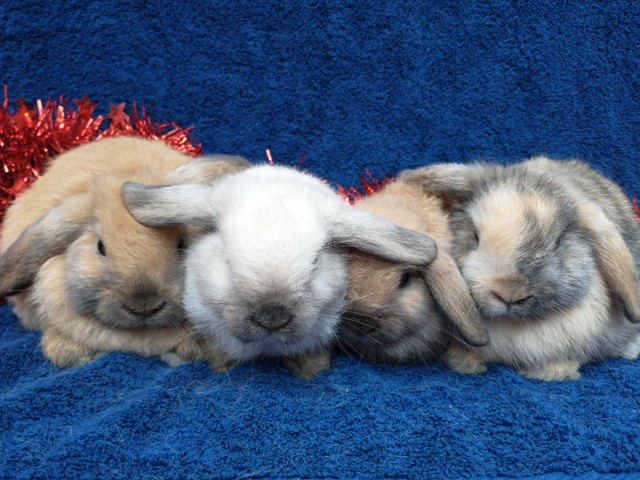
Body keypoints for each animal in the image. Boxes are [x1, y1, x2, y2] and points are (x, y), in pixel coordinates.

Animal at [122, 165, 438, 378]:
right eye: (226, 259)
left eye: (315, 263)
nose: (271, 318)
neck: (268, 346)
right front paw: (219, 363)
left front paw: (310, 369)